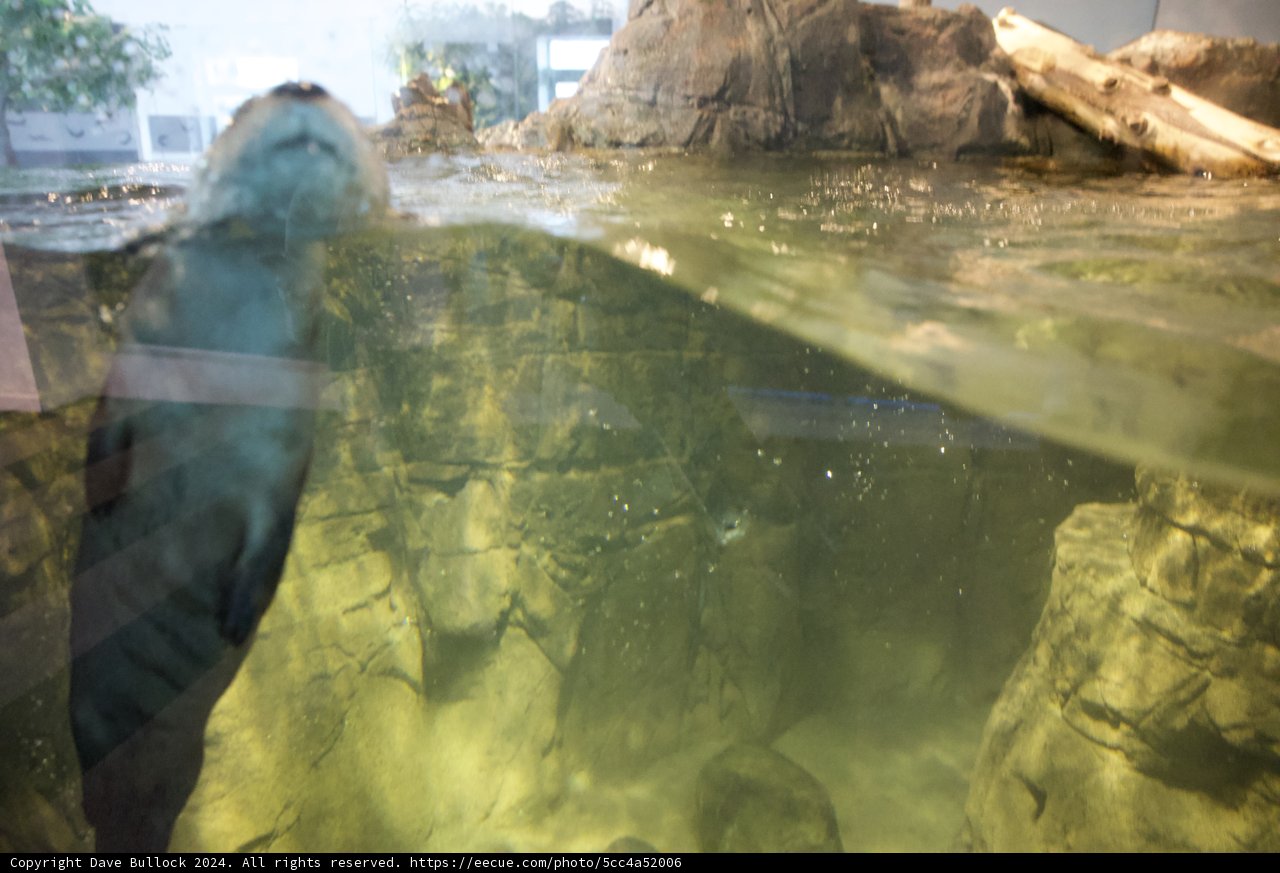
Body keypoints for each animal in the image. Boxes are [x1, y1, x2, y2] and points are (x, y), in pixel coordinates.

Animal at [68, 82, 388, 851]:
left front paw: (238, 619)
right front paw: (101, 497)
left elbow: (272, 540)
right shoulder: (132, 361)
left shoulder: (282, 457)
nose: (303, 86)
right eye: (247, 104)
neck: (217, 376)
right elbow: (103, 438)